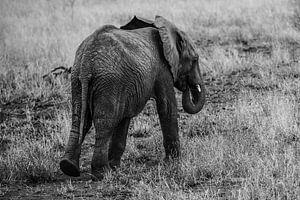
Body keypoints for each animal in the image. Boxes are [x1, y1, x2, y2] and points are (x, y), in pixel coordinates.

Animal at [60, 15, 206, 178]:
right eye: (195, 59)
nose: (187, 85)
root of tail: (86, 64)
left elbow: (124, 118)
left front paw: (115, 166)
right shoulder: (162, 68)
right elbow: (167, 108)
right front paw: (174, 162)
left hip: (77, 79)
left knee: (80, 120)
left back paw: (69, 167)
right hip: (108, 81)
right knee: (104, 123)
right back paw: (101, 173)